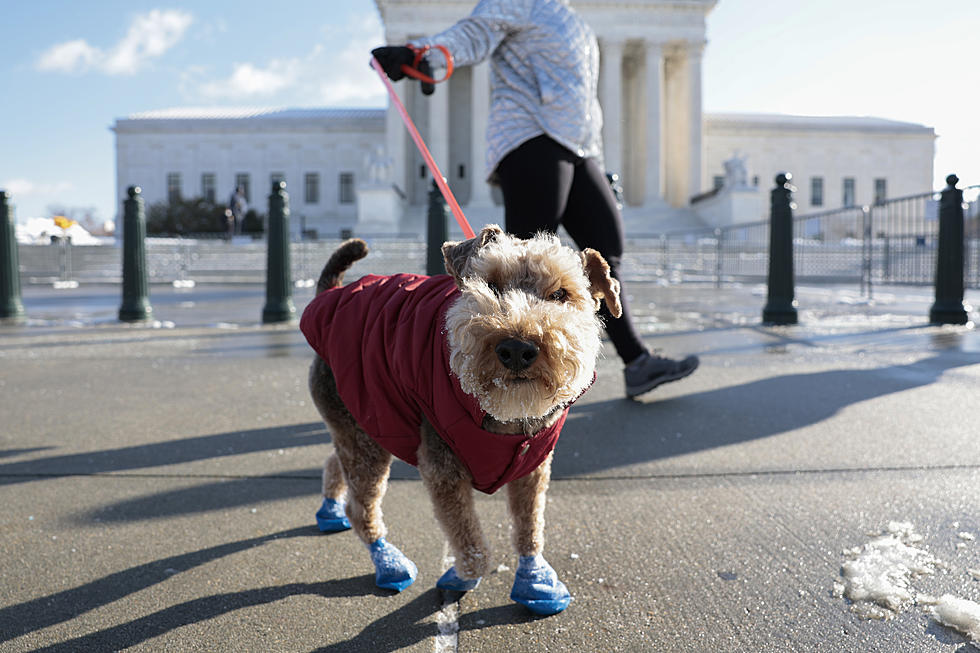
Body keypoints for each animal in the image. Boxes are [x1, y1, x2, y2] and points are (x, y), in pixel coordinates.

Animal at [298, 225, 620, 616]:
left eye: (561, 294)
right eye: (491, 285)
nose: (516, 348)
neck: (508, 420)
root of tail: (331, 293)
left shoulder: (532, 465)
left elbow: (529, 528)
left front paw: (537, 582)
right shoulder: (443, 470)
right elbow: (473, 546)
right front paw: (459, 577)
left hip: (366, 425)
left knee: (336, 463)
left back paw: (330, 510)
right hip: (367, 428)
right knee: (363, 507)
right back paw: (389, 563)